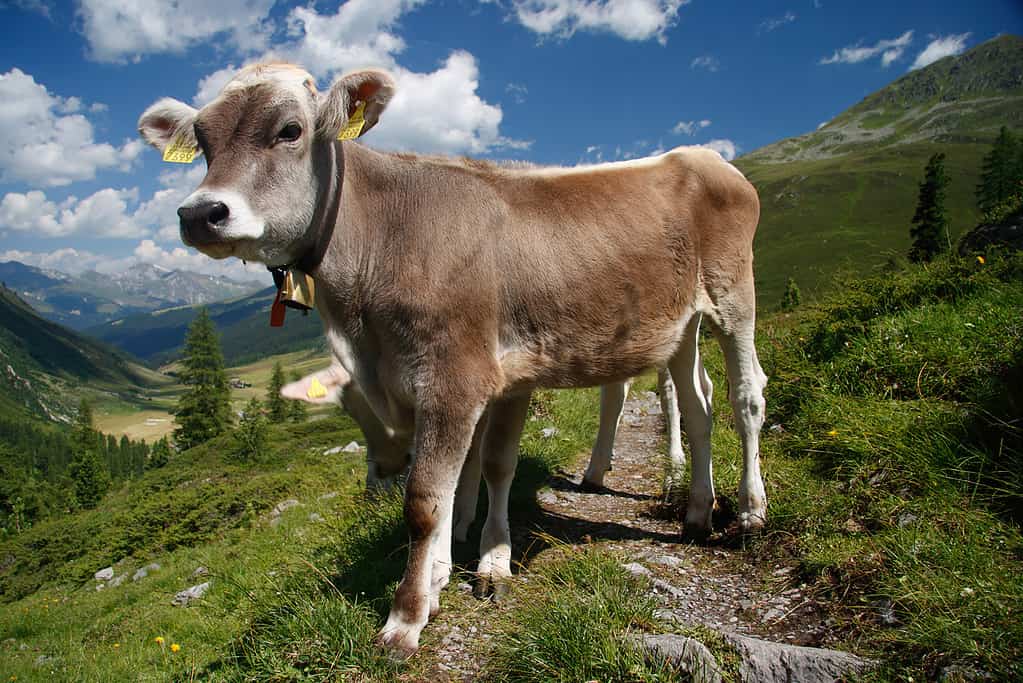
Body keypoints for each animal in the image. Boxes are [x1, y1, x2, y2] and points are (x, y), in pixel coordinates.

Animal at [137, 62, 767, 656]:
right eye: (203, 142)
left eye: (289, 130)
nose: (199, 213)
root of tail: (705, 157)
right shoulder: (441, 379)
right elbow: (458, 475)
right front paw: (444, 572)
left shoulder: (458, 375)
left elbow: (433, 495)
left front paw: (409, 616)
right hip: (678, 325)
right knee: (698, 407)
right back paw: (696, 510)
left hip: (733, 296)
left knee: (746, 398)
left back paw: (750, 511)